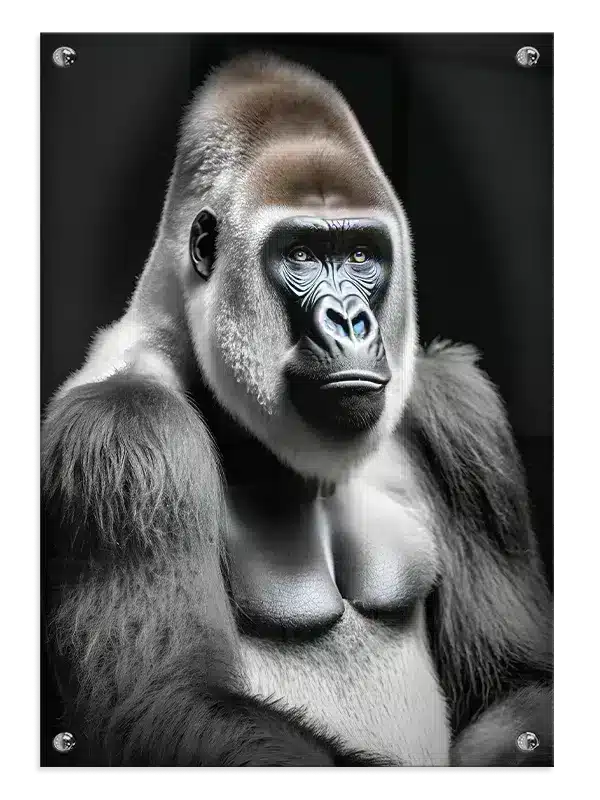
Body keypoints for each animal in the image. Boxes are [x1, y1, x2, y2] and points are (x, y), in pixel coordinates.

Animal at [42, 53, 554, 769]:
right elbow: (164, 700)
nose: (352, 320)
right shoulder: (124, 432)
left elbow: (520, 679)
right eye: (303, 254)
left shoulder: (456, 411)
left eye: (362, 254)